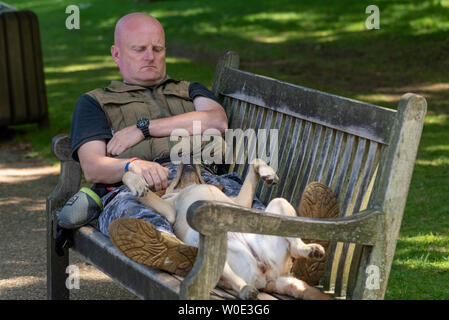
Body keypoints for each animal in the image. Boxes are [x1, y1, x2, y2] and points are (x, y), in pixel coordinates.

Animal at [121, 160, 330, 300]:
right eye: (172, 180)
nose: (188, 156)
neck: (190, 185)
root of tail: (271, 278)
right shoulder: (169, 211)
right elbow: (127, 176)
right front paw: (138, 184)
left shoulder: (240, 203)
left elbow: (255, 161)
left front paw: (267, 172)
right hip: (206, 248)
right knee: (234, 279)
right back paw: (246, 290)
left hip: (279, 208)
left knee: (294, 245)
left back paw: (310, 249)